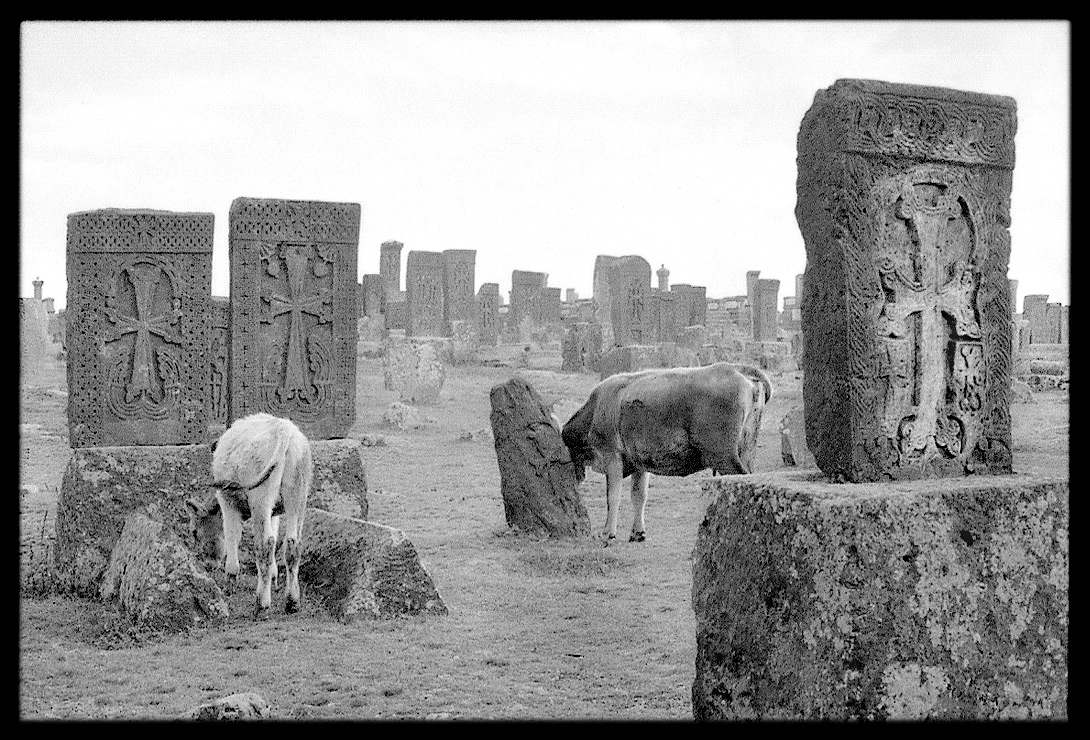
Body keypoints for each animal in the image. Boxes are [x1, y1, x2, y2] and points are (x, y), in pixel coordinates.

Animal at [186, 414, 313, 614]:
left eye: (194, 532)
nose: (207, 564)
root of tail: (283, 428)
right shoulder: (274, 513)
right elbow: (276, 534)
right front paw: (274, 577)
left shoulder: (227, 502)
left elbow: (232, 536)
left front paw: (230, 580)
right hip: (297, 497)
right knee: (292, 544)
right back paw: (292, 601)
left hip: (260, 498)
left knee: (265, 544)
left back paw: (262, 603)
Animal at [566, 364, 771, 544]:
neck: (598, 408)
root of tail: (736, 368)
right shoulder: (640, 463)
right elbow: (639, 496)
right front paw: (638, 533)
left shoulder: (612, 456)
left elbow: (613, 497)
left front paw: (608, 533)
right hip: (745, 452)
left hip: (725, 459)